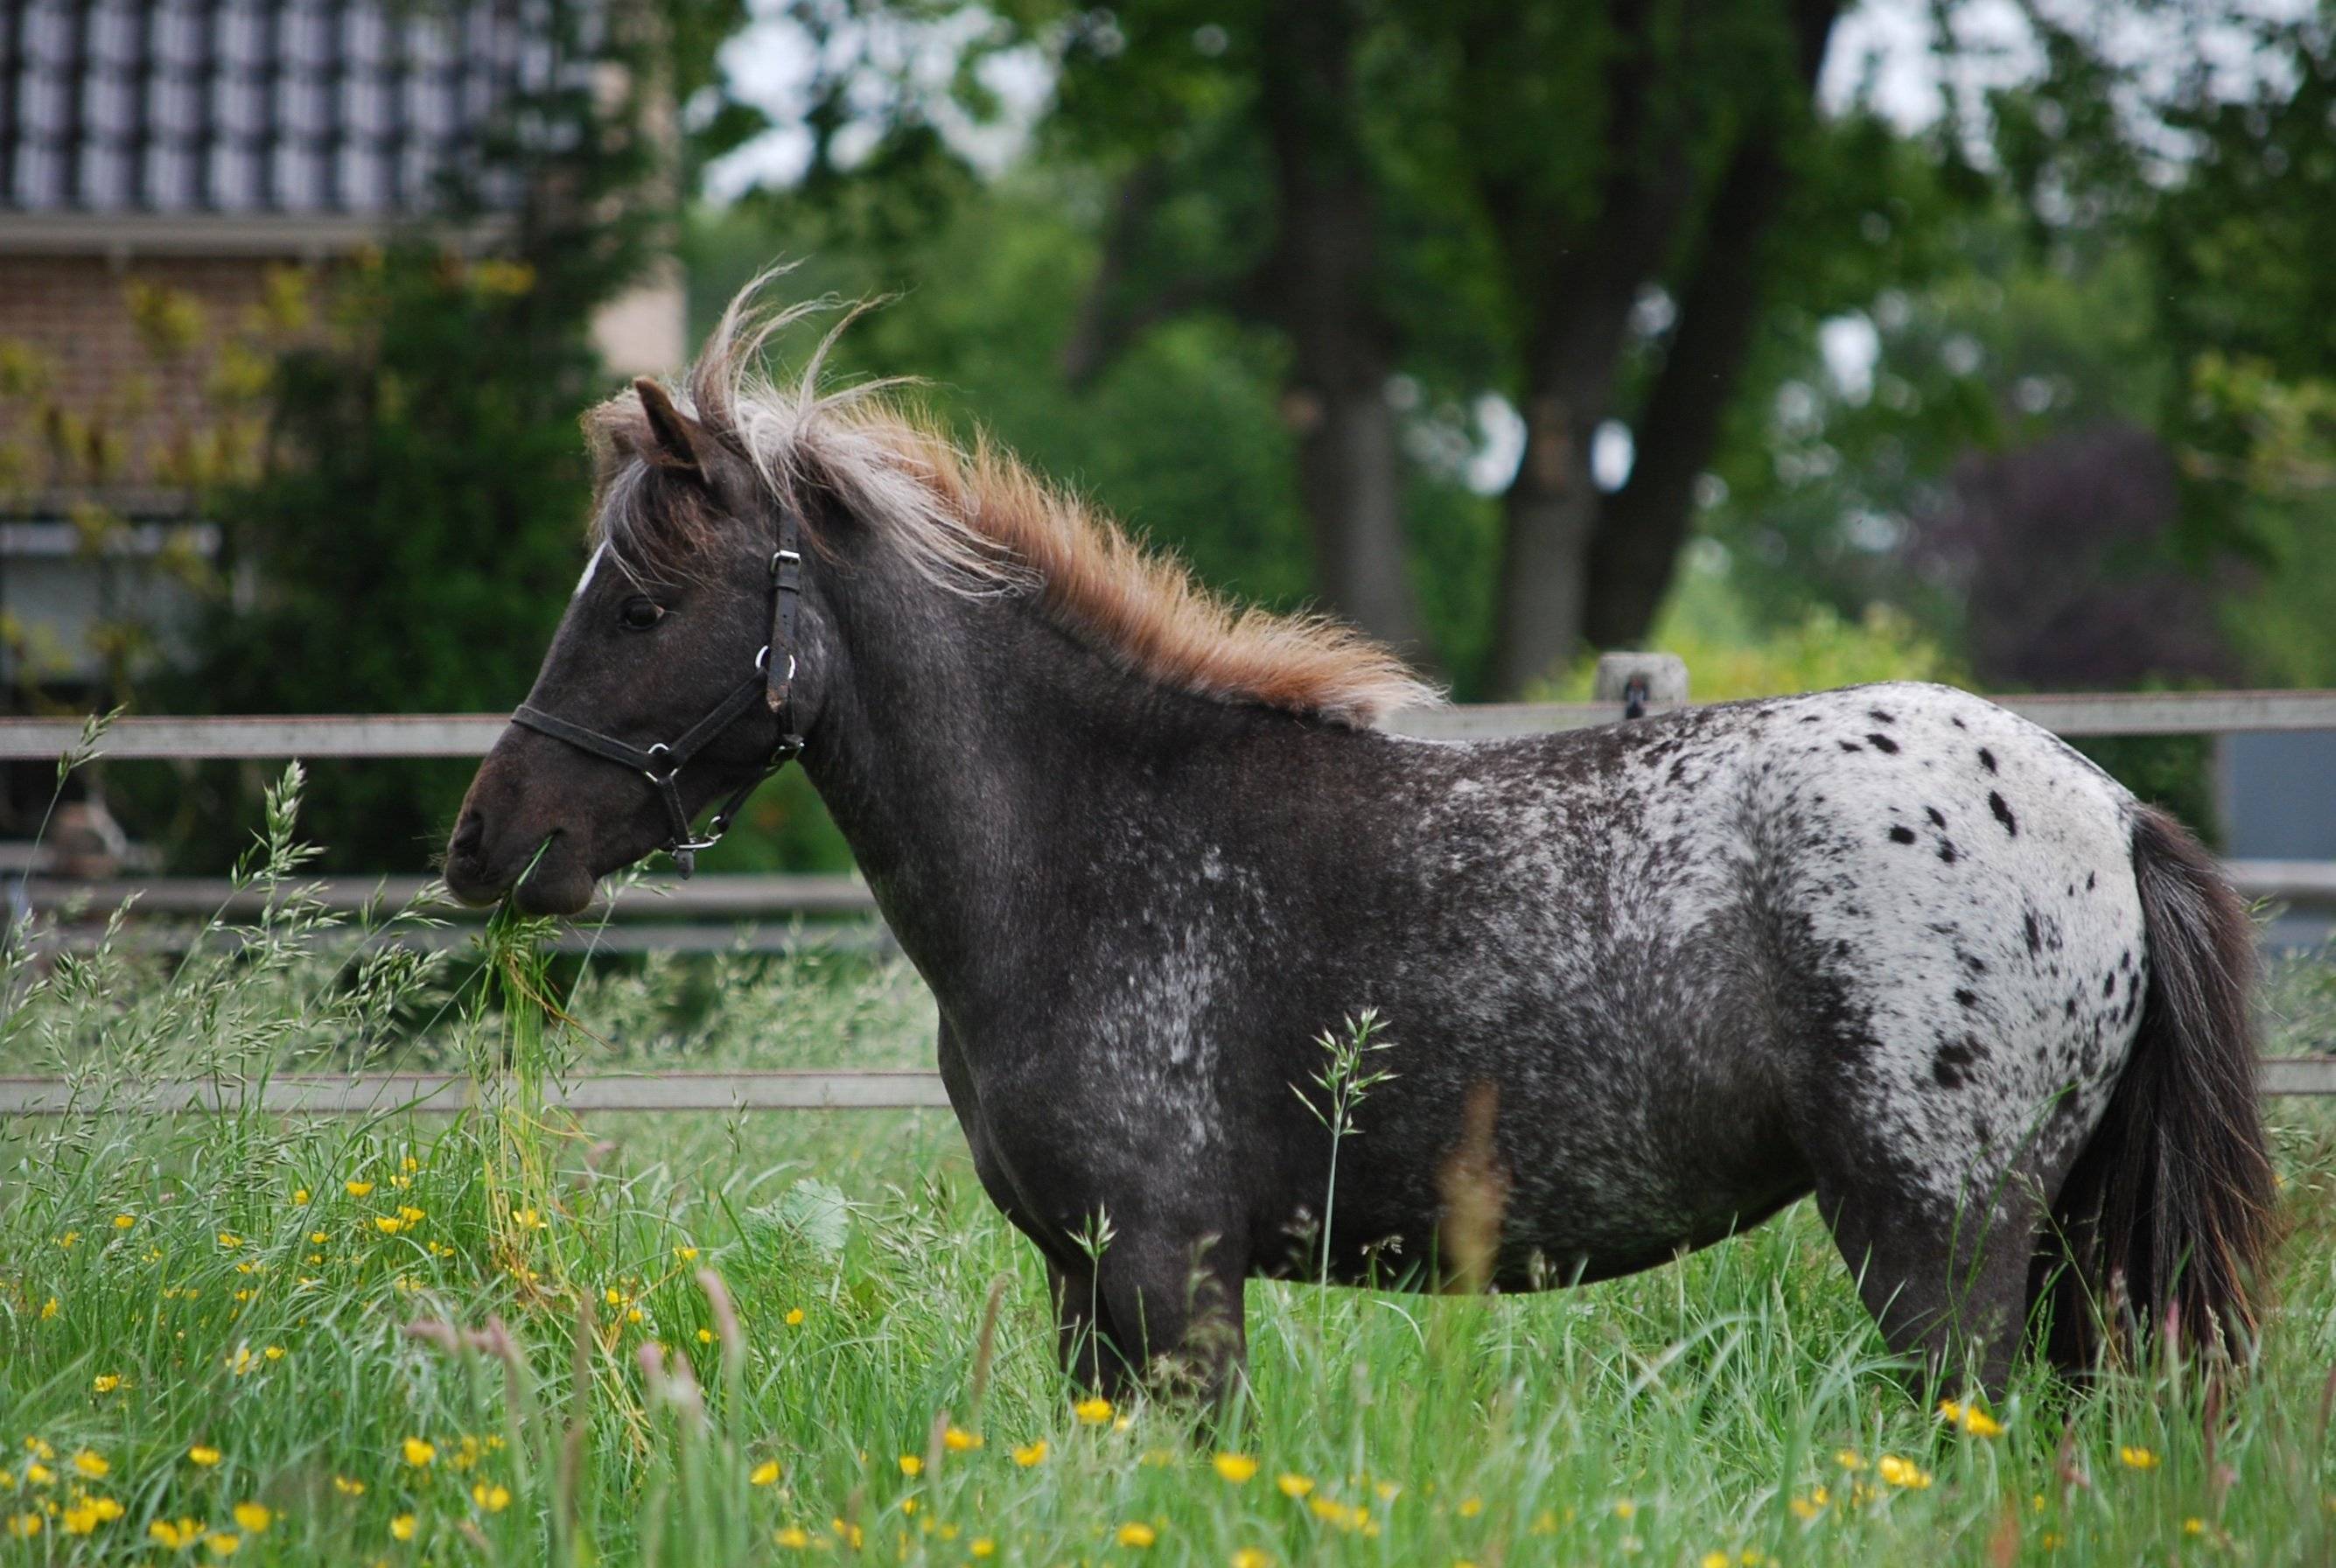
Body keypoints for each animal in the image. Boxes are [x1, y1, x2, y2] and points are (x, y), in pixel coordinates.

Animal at [445, 288, 2270, 1402]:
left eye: (642, 599)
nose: (489, 846)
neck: (1090, 841)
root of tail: (2105, 808)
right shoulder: (1088, 1291)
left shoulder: (1170, 1279)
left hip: (1938, 1252)